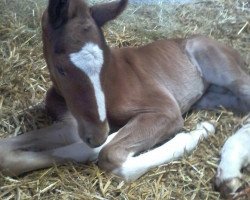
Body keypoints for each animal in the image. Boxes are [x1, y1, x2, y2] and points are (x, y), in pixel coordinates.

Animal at [0, 0, 250, 197]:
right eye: (61, 69)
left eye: (106, 61)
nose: (98, 135)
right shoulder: (71, 122)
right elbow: (8, 155)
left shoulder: (165, 109)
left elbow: (109, 154)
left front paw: (194, 133)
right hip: (213, 97)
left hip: (224, 71)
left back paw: (228, 170)